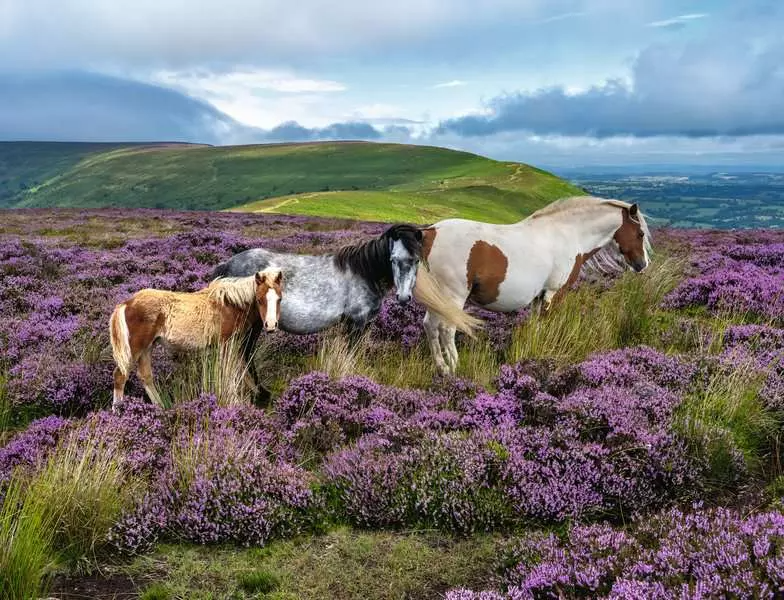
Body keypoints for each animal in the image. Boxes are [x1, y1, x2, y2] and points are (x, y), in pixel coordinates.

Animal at [109, 268, 284, 409]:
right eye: (259, 299)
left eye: (279, 299)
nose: (270, 325)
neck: (230, 305)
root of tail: (126, 303)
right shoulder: (226, 344)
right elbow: (229, 373)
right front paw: (234, 402)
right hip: (135, 348)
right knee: (120, 376)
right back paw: (118, 411)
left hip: (147, 348)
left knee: (145, 376)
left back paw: (160, 408)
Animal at [209, 223, 482, 376]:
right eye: (393, 259)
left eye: (416, 260)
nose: (403, 297)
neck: (364, 271)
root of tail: (228, 265)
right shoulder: (356, 322)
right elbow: (350, 355)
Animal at [417, 196, 652, 375]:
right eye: (640, 233)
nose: (642, 265)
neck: (568, 234)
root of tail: (431, 232)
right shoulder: (554, 293)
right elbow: (548, 324)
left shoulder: (540, 296)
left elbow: (536, 326)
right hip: (453, 297)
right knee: (447, 329)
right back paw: (455, 368)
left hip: (438, 299)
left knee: (430, 326)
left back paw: (442, 369)